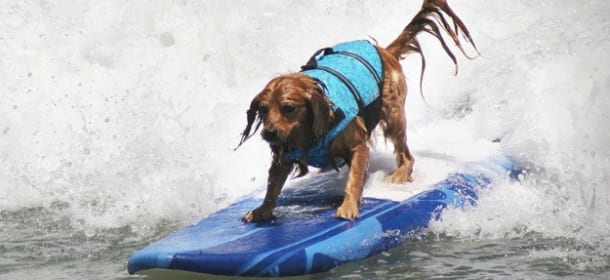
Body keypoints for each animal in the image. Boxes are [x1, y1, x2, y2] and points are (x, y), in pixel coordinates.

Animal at [235, 0, 478, 223]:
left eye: (288, 108)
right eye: (263, 109)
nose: (268, 133)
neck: (310, 132)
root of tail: (384, 52)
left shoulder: (358, 146)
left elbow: (353, 178)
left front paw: (348, 205)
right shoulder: (284, 153)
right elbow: (273, 186)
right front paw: (262, 211)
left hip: (393, 116)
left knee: (406, 154)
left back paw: (400, 173)